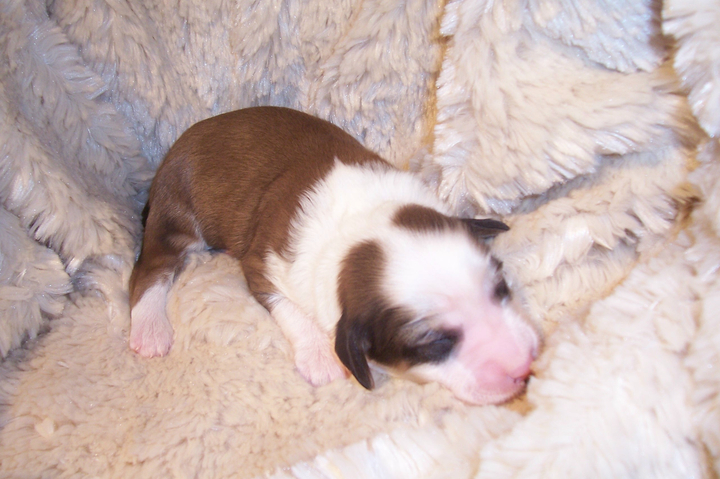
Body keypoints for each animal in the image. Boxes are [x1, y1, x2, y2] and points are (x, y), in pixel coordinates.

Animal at [128, 106, 540, 404]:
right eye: (435, 343)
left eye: (501, 289)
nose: (525, 367)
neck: (360, 225)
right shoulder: (263, 263)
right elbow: (290, 309)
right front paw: (320, 357)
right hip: (175, 212)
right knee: (150, 270)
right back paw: (150, 330)